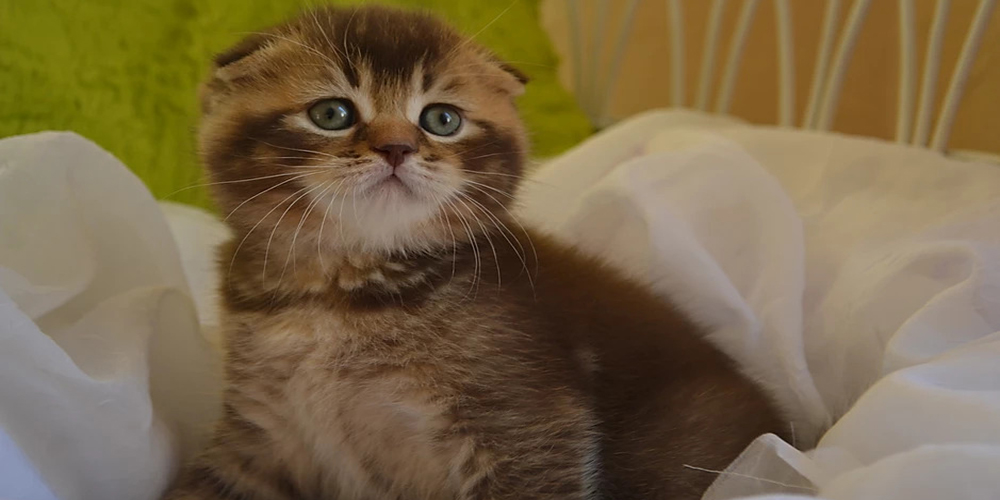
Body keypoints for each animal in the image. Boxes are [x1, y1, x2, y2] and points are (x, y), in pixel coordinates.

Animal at [164, 4, 784, 500]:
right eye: (331, 113)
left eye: (441, 119)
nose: (396, 147)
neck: (339, 291)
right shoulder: (259, 434)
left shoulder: (529, 426)